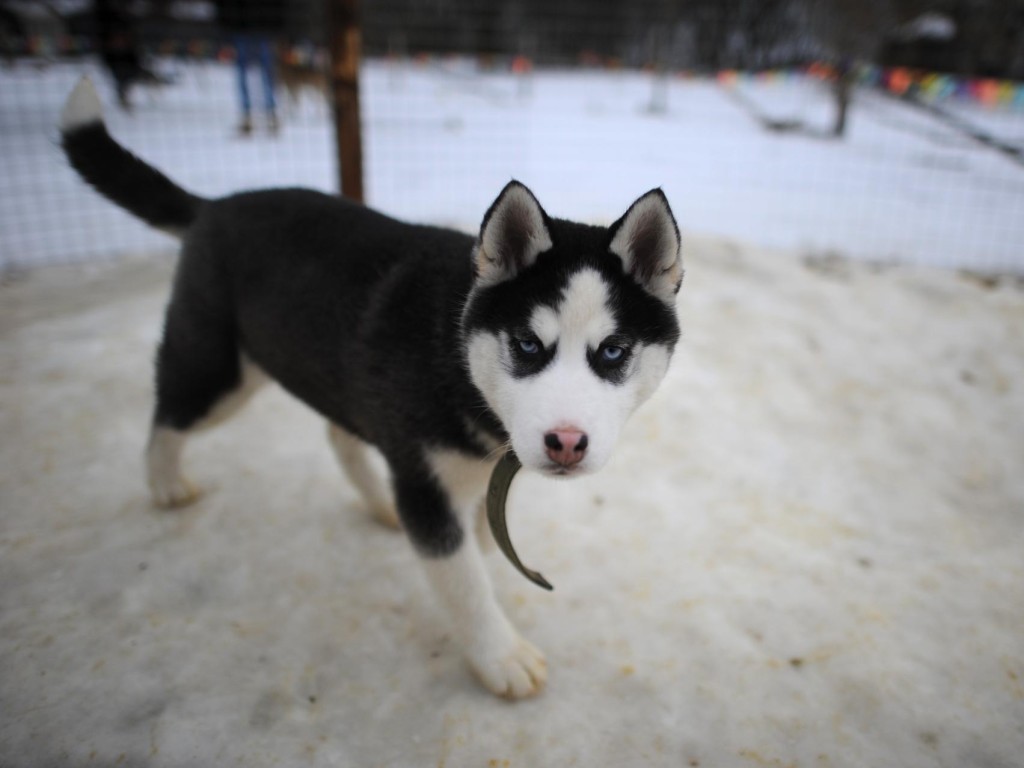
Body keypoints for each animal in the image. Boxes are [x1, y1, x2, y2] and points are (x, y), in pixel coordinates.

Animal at [56, 79, 679, 704]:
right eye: (527, 344)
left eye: (613, 351)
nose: (566, 443)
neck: (455, 353)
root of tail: (214, 205)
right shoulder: (427, 491)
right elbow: (465, 583)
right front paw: (501, 655)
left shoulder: (476, 475)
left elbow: (479, 544)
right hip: (221, 374)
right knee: (169, 414)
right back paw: (164, 484)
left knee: (340, 433)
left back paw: (378, 503)